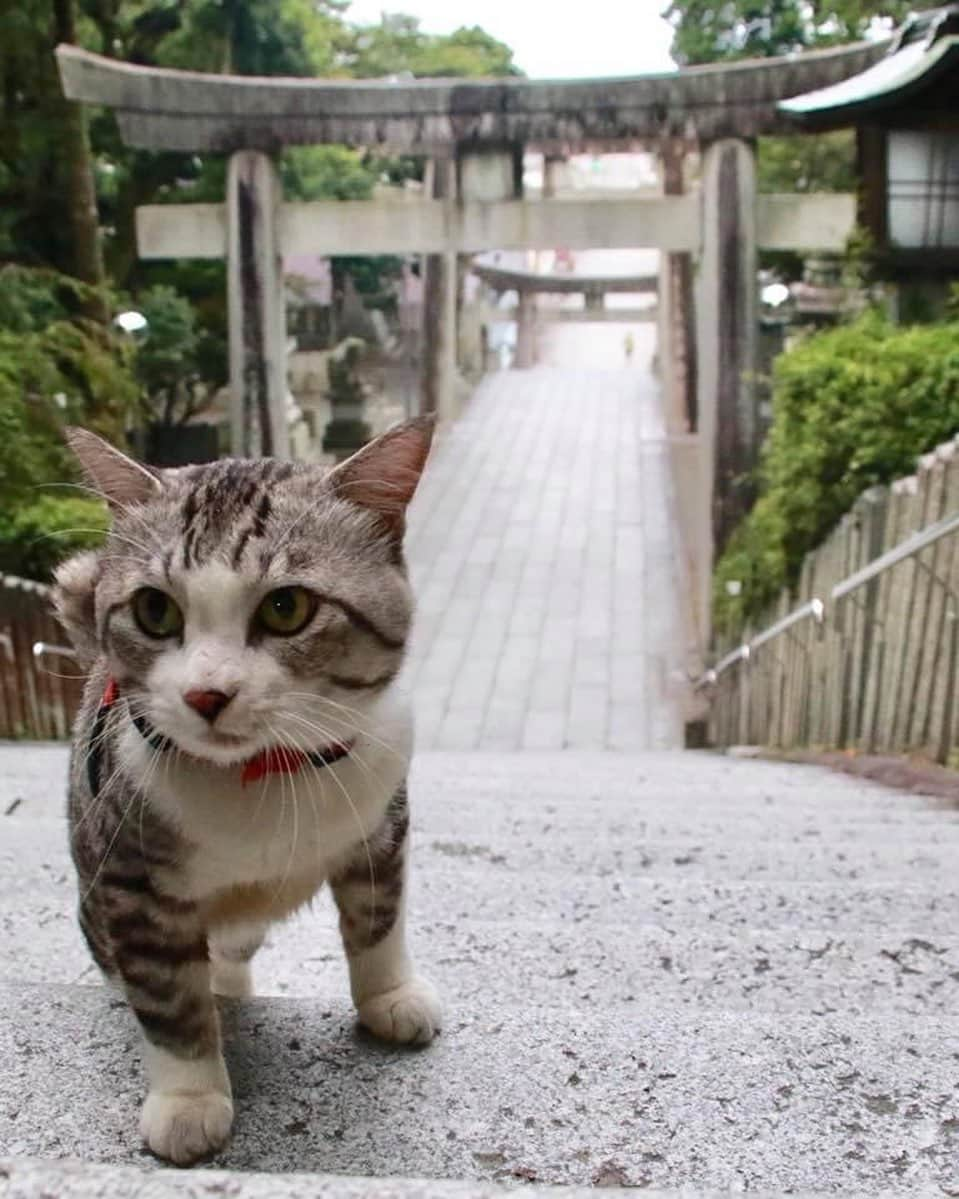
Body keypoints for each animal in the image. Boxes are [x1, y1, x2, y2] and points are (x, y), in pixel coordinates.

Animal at [53, 419, 441, 1160]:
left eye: (287, 607)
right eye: (154, 609)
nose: (208, 693)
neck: (267, 775)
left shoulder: (385, 817)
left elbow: (378, 917)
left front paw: (390, 996)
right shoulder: (130, 875)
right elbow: (168, 997)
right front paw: (189, 1099)